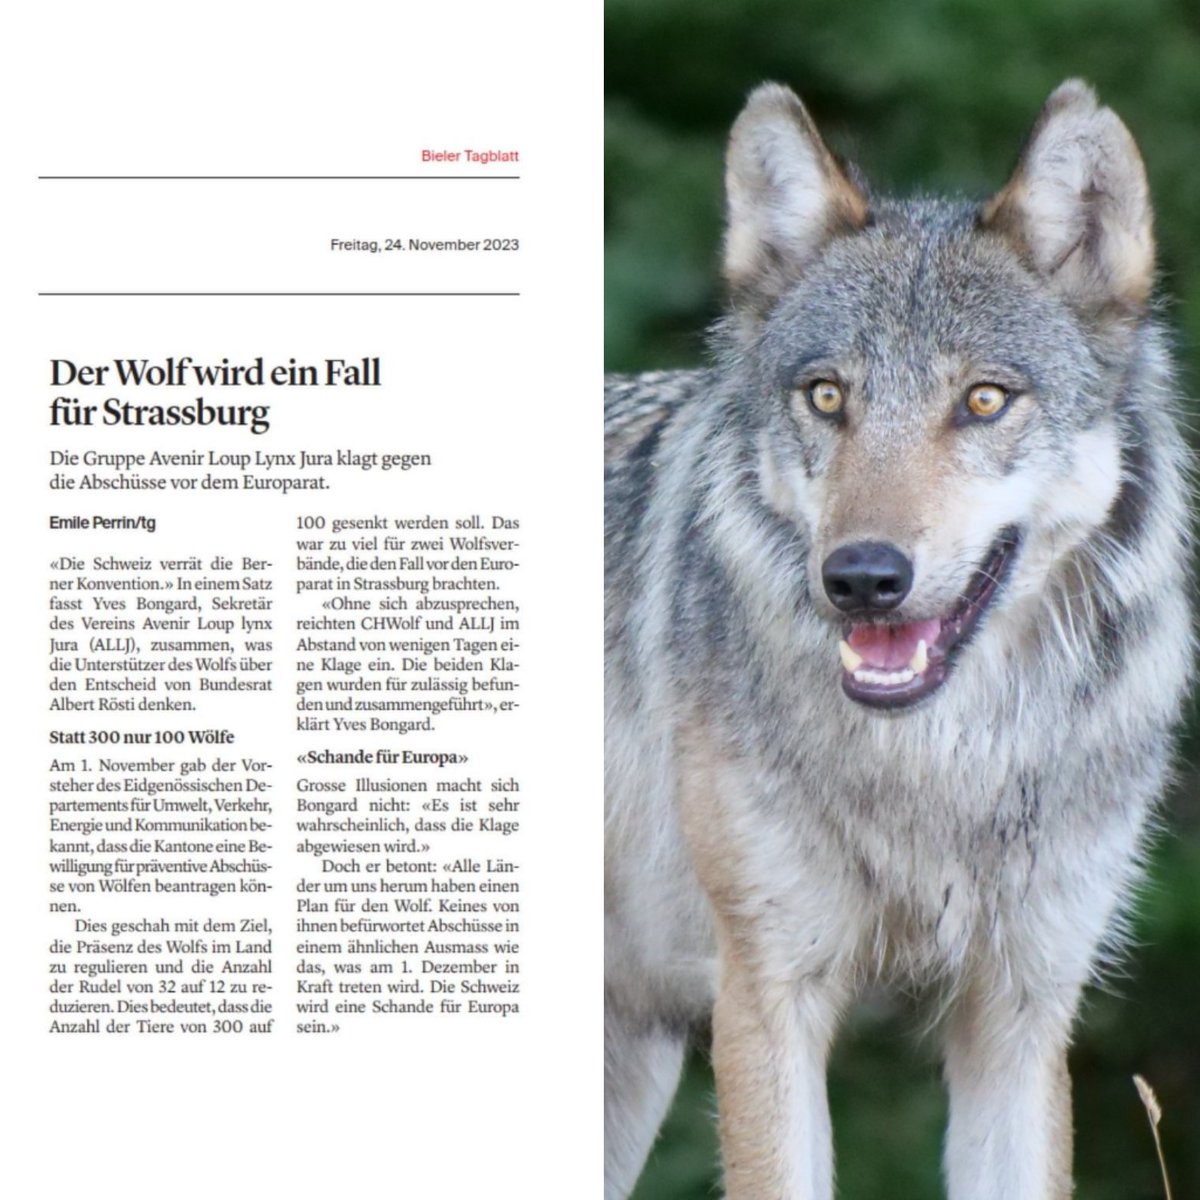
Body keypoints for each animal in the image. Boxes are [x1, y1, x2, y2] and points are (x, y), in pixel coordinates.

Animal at [605, 81, 1192, 1200]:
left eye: (984, 400)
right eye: (827, 395)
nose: (862, 579)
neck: (940, 761)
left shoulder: (1021, 1011)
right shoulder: (766, 995)